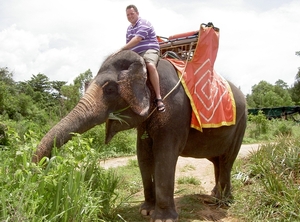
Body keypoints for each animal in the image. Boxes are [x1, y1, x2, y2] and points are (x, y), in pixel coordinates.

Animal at [32, 50, 246, 222]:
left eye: (110, 89)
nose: (40, 174)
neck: (145, 64)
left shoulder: (174, 109)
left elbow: (164, 155)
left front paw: (163, 219)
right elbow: (143, 154)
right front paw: (146, 212)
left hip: (241, 124)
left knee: (227, 160)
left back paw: (223, 202)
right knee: (217, 160)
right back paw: (214, 196)